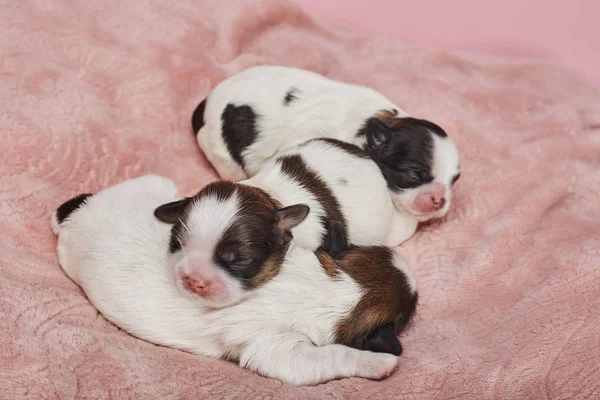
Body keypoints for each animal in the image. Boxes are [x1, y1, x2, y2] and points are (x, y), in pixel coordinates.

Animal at [51, 174, 418, 384]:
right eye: (407, 315)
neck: (334, 287)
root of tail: (82, 208)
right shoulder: (278, 349)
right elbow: (330, 358)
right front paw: (379, 363)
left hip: (153, 185)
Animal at [192, 65, 460, 228]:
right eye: (414, 173)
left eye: (452, 182)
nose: (440, 200)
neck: (369, 125)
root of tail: (206, 104)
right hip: (221, 151)